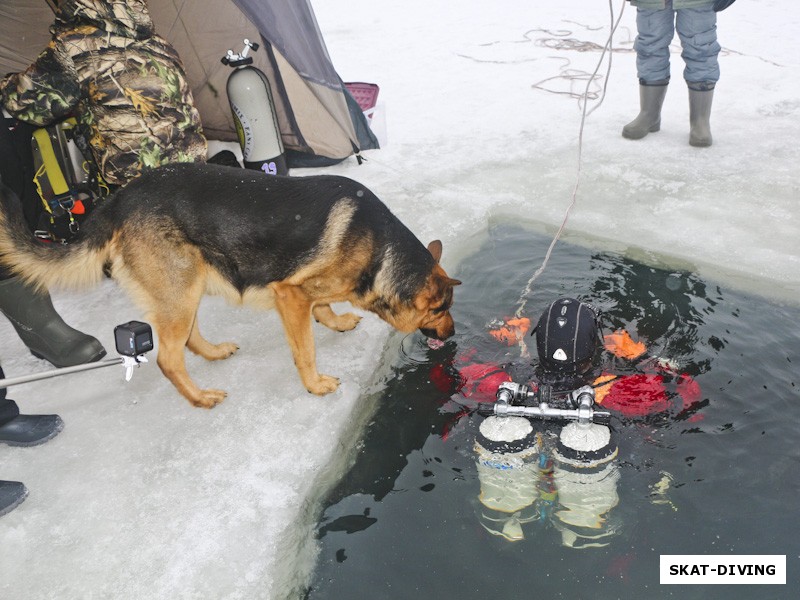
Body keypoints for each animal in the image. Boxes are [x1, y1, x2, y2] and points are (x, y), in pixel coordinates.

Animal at [0, 162, 462, 408]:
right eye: (441, 310)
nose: (454, 333)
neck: (380, 251)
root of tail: (117, 199)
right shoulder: (289, 295)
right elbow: (306, 349)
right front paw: (315, 385)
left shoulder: (305, 292)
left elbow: (324, 306)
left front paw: (337, 320)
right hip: (179, 290)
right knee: (168, 357)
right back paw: (199, 397)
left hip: (189, 286)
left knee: (187, 338)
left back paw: (214, 352)